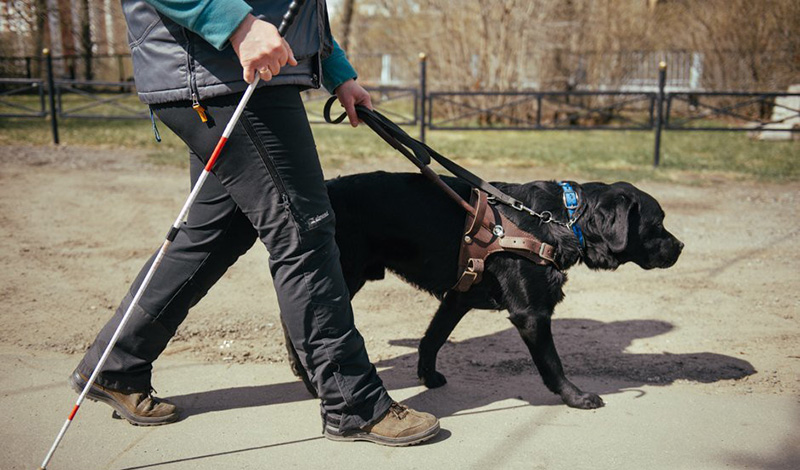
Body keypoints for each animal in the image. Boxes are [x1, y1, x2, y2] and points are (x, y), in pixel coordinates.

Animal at [284, 171, 684, 410]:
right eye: (658, 223)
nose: (681, 246)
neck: (560, 220)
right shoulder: (532, 314)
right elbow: (552, 364)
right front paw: (575, 396)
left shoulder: (458, 297)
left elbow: (432, 339)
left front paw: (427, 376)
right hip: (341, 274)